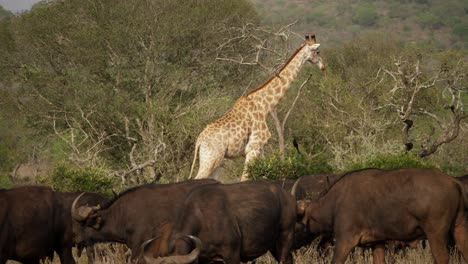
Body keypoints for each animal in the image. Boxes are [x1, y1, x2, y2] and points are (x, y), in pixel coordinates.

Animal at [188, 34, 324, 182]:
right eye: (317, 52)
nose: (323, 67)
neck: (264, 106)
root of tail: (199, 141)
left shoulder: (260, 147)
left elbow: (263, 175)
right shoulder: (253, 147)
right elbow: (245, 178)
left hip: (218, 161)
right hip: (212, 158)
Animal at [296, 169, 468, 264]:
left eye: (296, 223)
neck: (336, 202)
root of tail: (453, 181)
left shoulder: (344, 241)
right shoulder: (377, 243)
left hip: (436, 235)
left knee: (442, 259)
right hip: (459, 229)